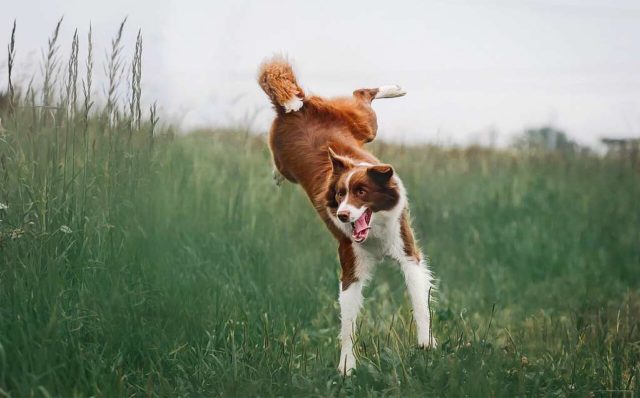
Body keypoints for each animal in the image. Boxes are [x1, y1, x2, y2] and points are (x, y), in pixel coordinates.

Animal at [258, 56, 436, 376]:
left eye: (362, 192)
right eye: (340, 194)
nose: (342, 215)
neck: (375, 232)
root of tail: (295, 107)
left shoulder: (407, 250)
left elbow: (419, 299)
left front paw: (426, 341)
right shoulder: (350, 264)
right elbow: (348, 322)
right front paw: (346, 367)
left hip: (363, 124)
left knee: (362, 95)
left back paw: (395, 89)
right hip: (298, 151)